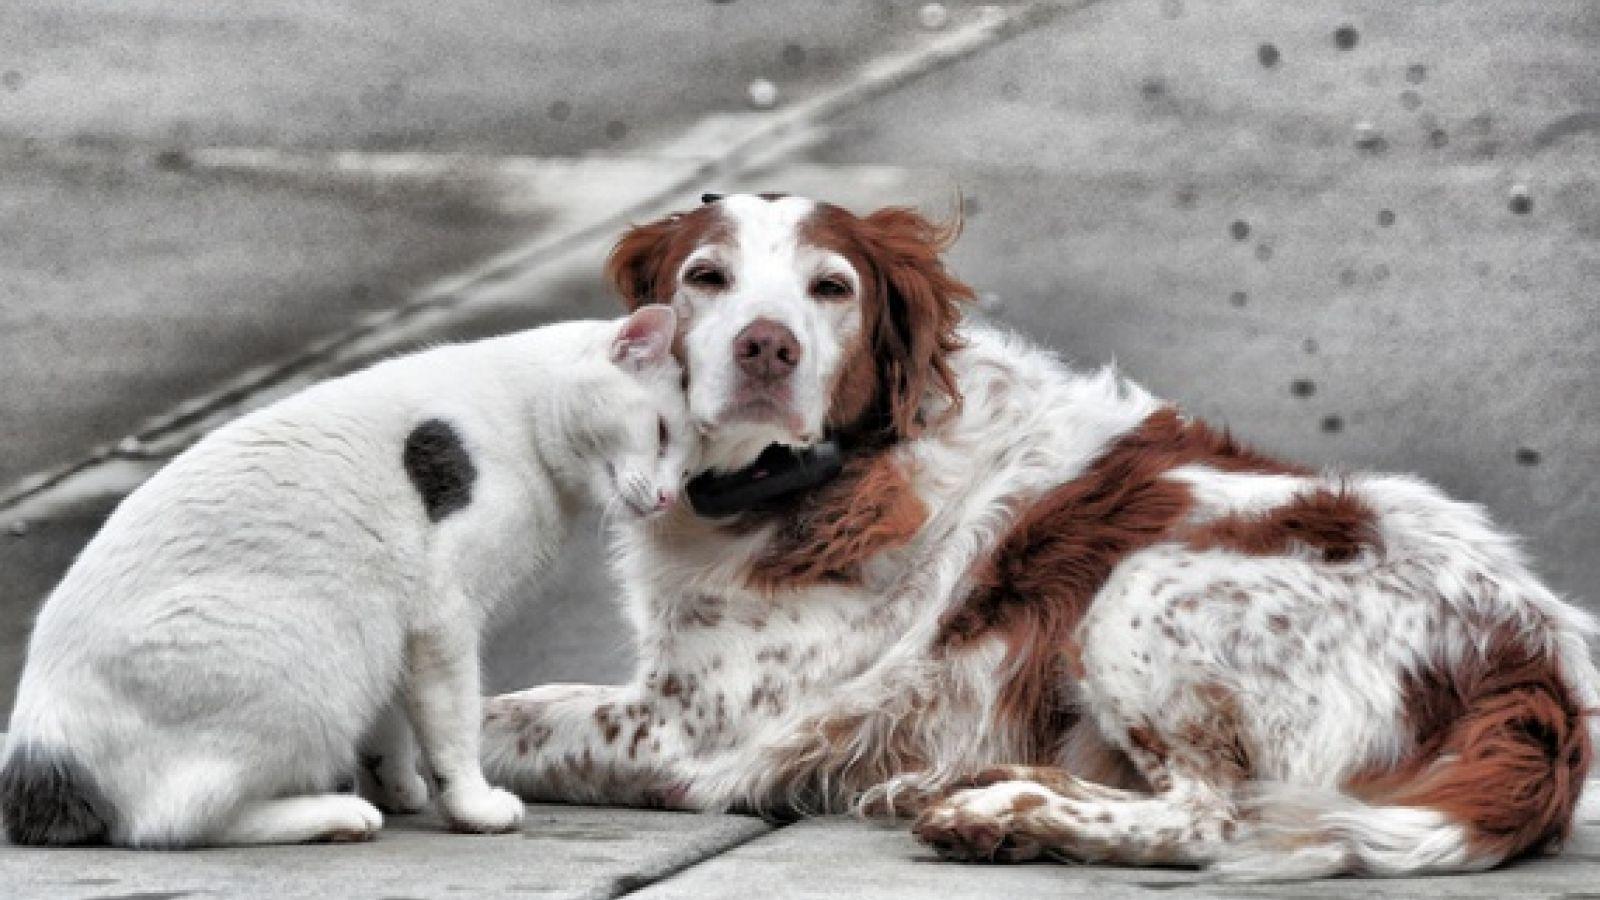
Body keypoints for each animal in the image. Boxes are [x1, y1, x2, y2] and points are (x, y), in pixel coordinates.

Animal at [0, 304, 691, 845]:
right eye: (660, 433)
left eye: (685, 458)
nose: (666, 498)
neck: (521, 415)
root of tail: (39, 749)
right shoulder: (444, 615)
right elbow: (454, 722)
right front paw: (472, 806)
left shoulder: (399, 627)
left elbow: (394, 723)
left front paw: (401, 786)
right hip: (305, 656)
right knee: (171, 822)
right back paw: (337, 813)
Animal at [480, 192, 1593, 871]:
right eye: (704, 277)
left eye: (831, 288)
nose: (767, 347)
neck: (814, 478)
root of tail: (1534, 664)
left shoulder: (698, 731)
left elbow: (508, 719)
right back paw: (973, 783)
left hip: (1136, 595)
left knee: (1213, 815)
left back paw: (997, 818)